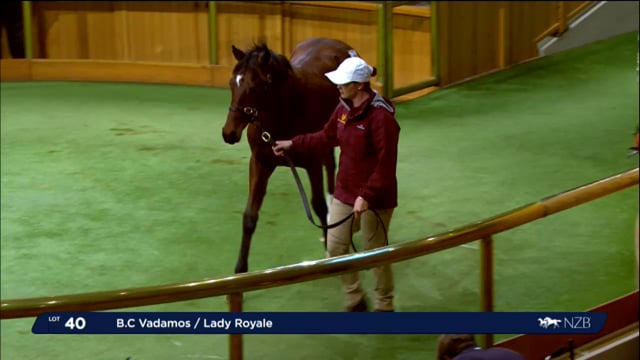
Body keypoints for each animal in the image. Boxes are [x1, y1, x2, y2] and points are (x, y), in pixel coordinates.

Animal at [222, 38, 358, 272]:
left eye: (254, 87)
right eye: (232, 83)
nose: (229, 133)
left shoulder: (312, 163)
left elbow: (318, 205)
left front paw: (329, 253)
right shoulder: (260, 163)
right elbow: (250, 216)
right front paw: (240, 269)